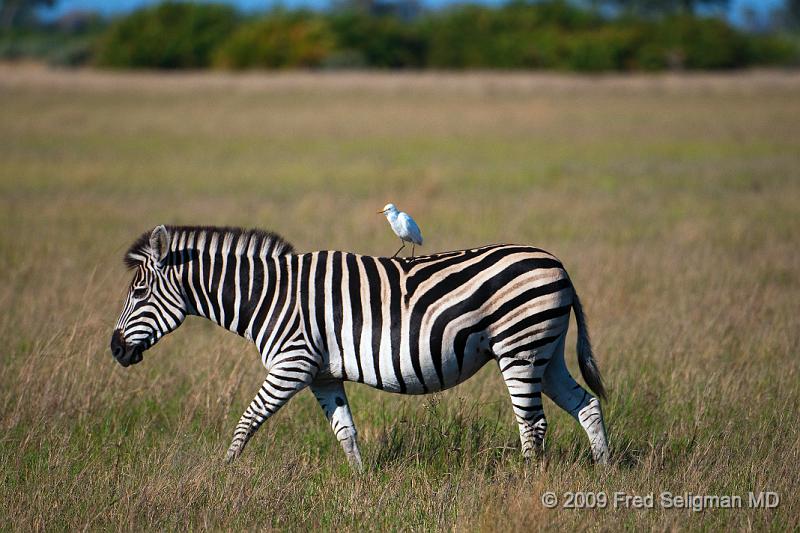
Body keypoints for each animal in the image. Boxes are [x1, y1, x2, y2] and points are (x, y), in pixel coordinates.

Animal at [108, 224, 608, 466]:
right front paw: (361, 486)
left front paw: (222, 473)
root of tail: (558, 264)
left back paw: (524, 483)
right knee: (585, 405)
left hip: (520, 349)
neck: (267, 297)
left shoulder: (292, 364)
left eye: (139, 293)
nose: (114, 349)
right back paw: (603, 470)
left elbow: (247, 420)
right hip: (545, 352)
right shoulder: (322, 375)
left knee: (534, 424)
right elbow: (345, 432)